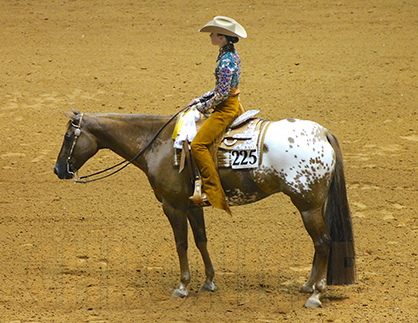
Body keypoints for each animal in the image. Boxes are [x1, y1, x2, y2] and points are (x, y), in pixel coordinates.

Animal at [54, 109, 356, 308]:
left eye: (68, 136)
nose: (58, 170)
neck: (160, 145)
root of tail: (323, 133)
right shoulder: (191, 205)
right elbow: (200, 239)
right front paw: (209, 281)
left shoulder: (172, 206)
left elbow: (181, 243)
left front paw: (182, 286)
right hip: (312, 206)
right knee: (320, 244)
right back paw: (307, 286)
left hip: (308, 206)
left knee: (323, 242)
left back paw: (315, 294)